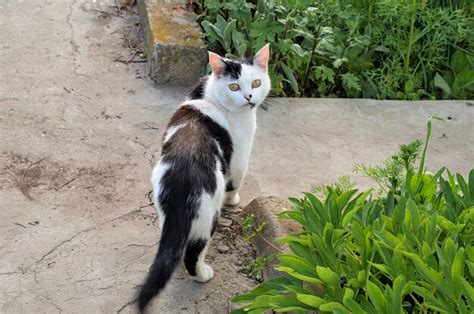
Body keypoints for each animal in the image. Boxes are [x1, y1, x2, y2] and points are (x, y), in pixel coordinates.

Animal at [137, 44, 270, 312]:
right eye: (234, 86)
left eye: (256, 82)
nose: (249, 97)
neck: (211, 97)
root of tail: (181, 174)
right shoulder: (239, 157)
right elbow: (236, 181)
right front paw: (234, 200)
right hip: (207, 215)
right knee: (193, 250)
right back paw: (202, 274)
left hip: (165, 211)